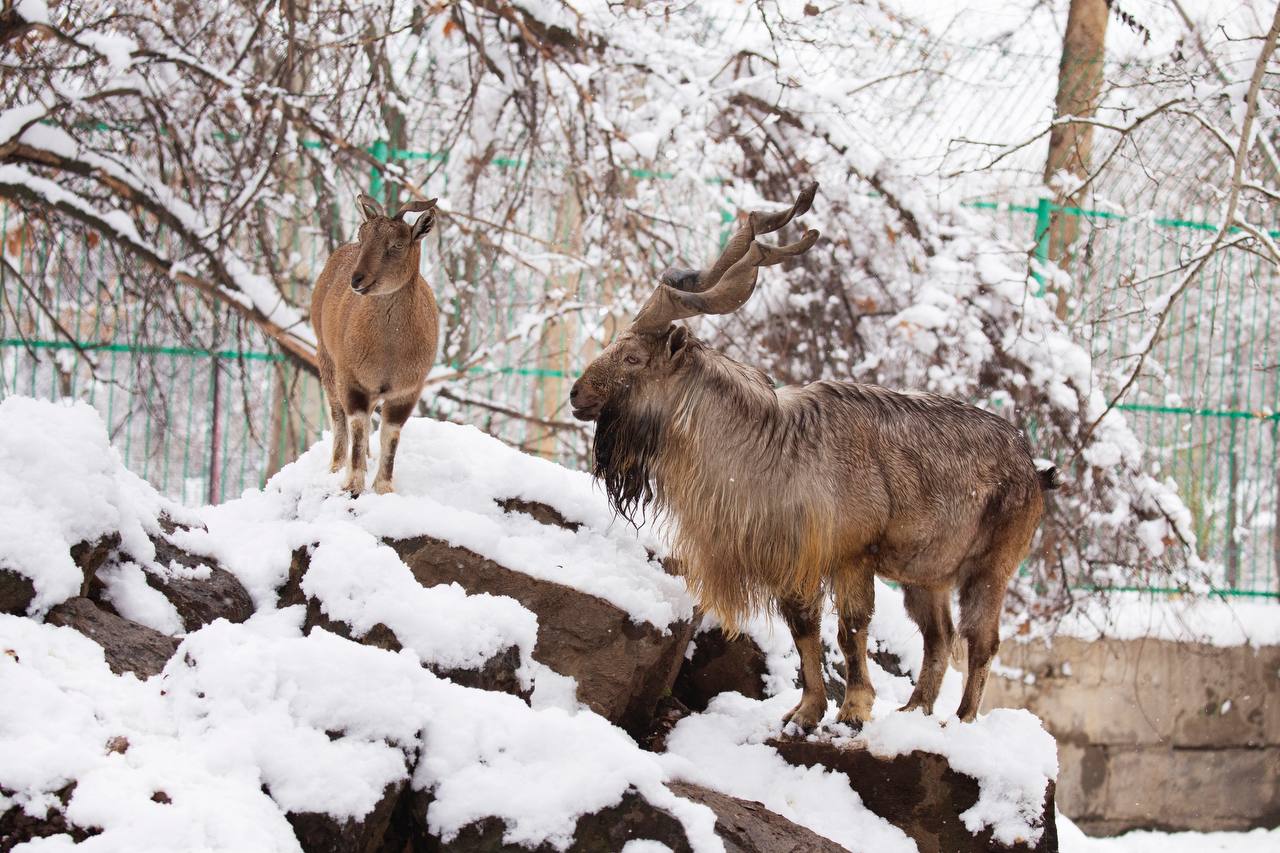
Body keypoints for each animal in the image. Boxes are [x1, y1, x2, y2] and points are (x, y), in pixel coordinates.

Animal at [309, 193, 440, 494]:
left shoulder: (407, 390)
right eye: (363, 236)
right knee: (338, 414)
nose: (357, 279)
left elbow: (390, 434)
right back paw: (337, 465)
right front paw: (352, 483)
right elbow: (356, 424)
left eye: (397, 244)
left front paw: (384, 487)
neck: (388, 350)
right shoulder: (352, 378)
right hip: (326, 358)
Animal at [570, 183, 1059, 727]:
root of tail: (1033, 468)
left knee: (981, 640)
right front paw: (805, 712)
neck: (770, 444)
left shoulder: (850, 556)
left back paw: (963, 718)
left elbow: (849, 629)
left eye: (634, 357)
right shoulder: (792, 563)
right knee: (940, 637)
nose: (576, 394)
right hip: (926, 577)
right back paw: (915, 710)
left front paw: (854, 710)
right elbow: (804, 631)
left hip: (991, 569)